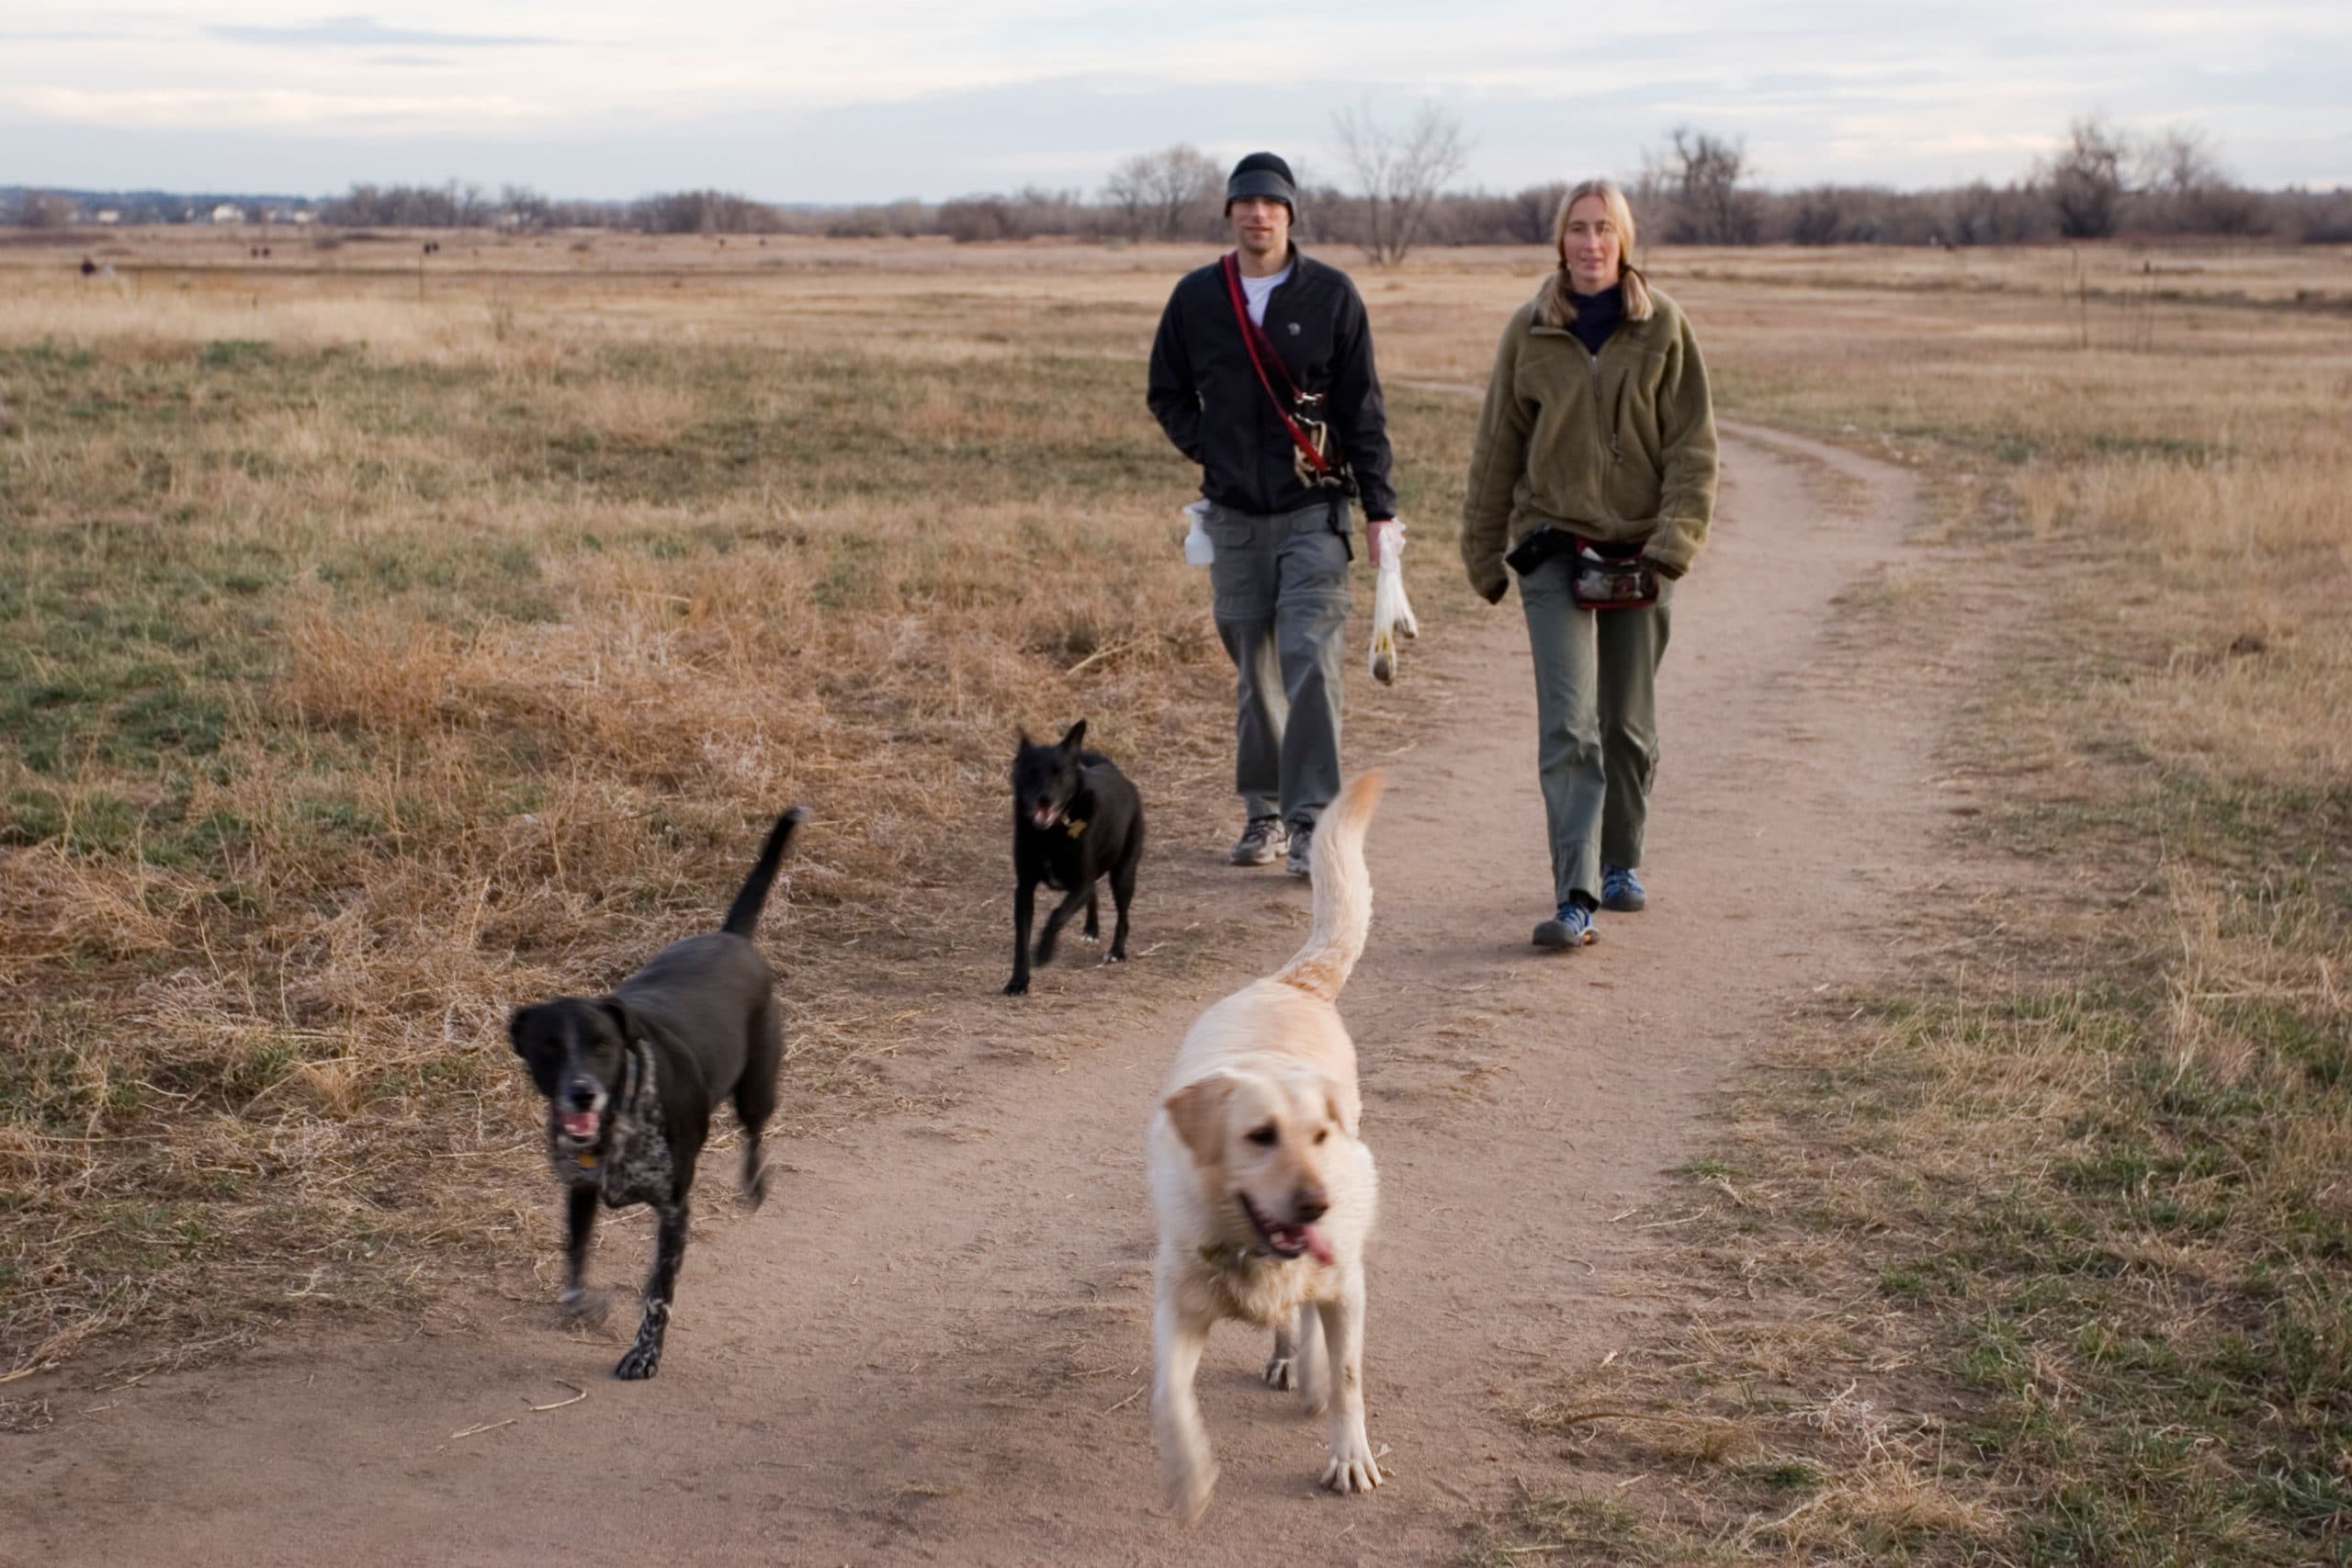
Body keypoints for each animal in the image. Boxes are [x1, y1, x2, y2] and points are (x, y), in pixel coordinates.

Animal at [507, 804, 808, 1382]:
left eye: (602, 1046)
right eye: (549, 1047)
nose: (581, 1094)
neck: (621, 1117)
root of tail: (732, 938)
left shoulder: (673, 1211)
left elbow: (657, 1294)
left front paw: (643, 1354)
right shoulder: (580, 1191)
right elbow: (573, 1269)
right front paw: (587, 1306)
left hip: (756, 1086)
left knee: (755, 1132)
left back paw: (754, 1181)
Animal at [1006, 719, 1143, 991]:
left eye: (1059, 772)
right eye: (1032, 771)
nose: (1044, 798)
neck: (1051, 834)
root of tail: (1115, 772)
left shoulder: (1080, 883)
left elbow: (1057, 915)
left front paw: (1044, 952)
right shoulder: (1024, 889)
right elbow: (1021, 939)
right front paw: (1018, 981)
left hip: (1123, 875)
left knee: (1122, 917)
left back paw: (1116, 952)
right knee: (1095, 894)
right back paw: (1091, 929)